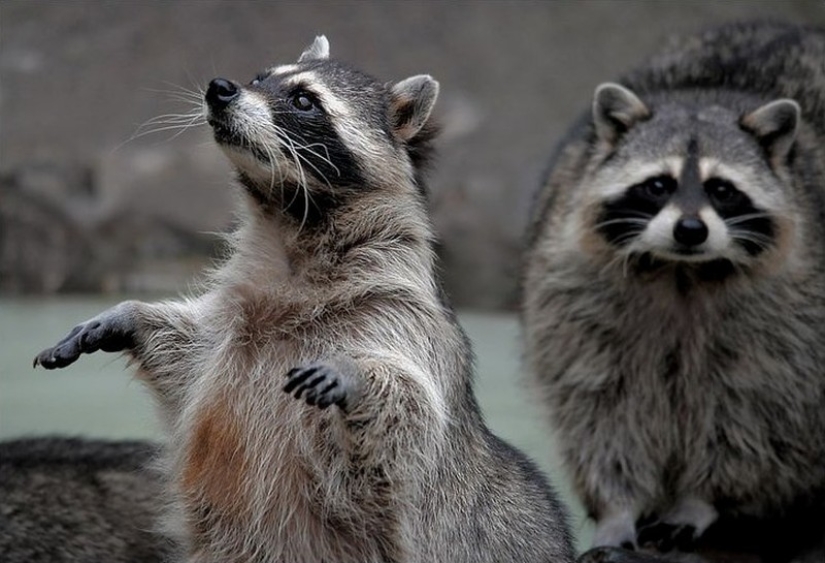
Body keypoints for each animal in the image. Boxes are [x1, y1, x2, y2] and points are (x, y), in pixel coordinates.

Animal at [34, 37, 574, 563]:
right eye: (260, 77)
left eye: (303, 100)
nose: (220, 87)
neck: (289, 229)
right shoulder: (231, 324)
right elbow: (185, 354)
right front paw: (132, 315)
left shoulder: (403, 316)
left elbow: (410, 419)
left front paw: (358, 377)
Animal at [522, 21, 825, 560]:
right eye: (657, 185)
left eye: (723, 190)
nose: (690, 230)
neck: (681, 271)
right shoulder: (571, 290)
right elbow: (599, 405)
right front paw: (617, 508)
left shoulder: (793, 314)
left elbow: (753, 409)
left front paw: (701, 500)